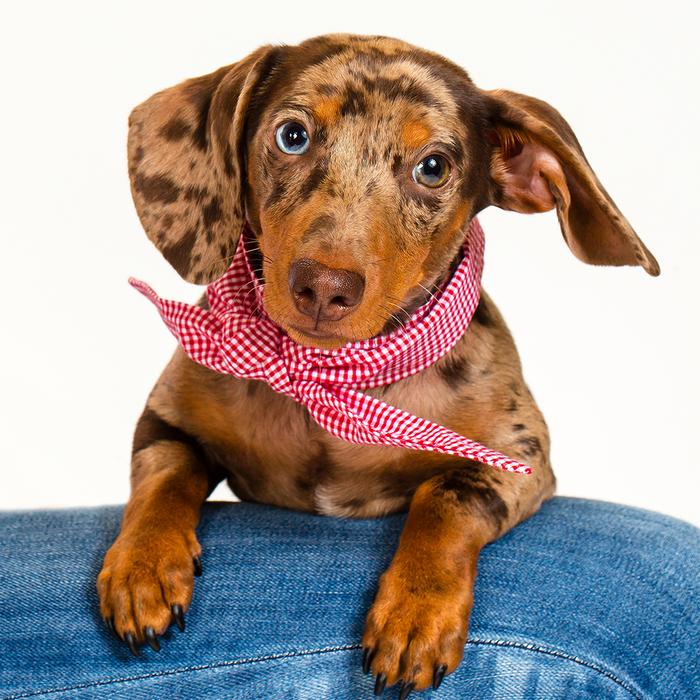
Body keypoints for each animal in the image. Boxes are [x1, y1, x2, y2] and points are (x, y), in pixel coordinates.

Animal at [95, 32, 660, 696]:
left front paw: (415, 611)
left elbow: (445, 495)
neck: (330, 378)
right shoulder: (167, 422)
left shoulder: (520, 458)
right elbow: (164, 478)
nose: (323, 287)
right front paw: (143, 567)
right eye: (292, 135)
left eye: (433, 168)